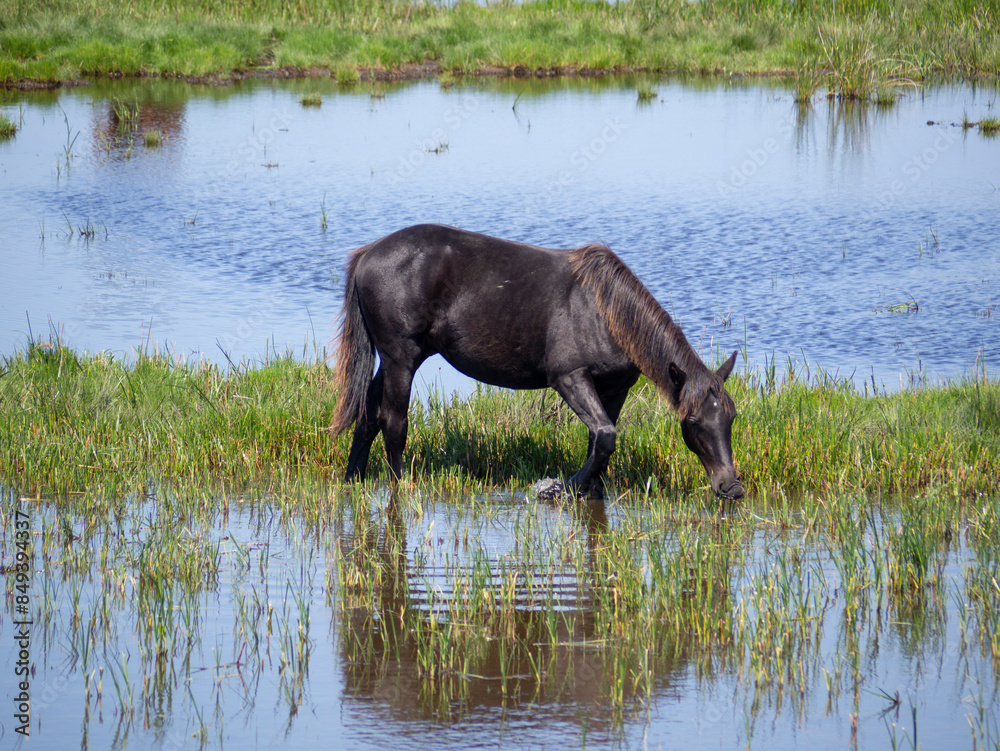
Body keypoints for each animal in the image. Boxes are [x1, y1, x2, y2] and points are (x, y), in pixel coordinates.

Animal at [330, 225, 744, 506]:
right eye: (694, 422)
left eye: (731, 418)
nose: (733, 487)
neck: (605, 312)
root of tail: (367, 254)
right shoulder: (570, 378)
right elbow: (604, 437)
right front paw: (558, 489)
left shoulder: (614, 389)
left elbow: (601, 441)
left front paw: (588, 492)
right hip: (401, 358)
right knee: (393, 422)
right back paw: (400, 486)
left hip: (395, 359)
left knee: (367, 417)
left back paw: (353, 480)